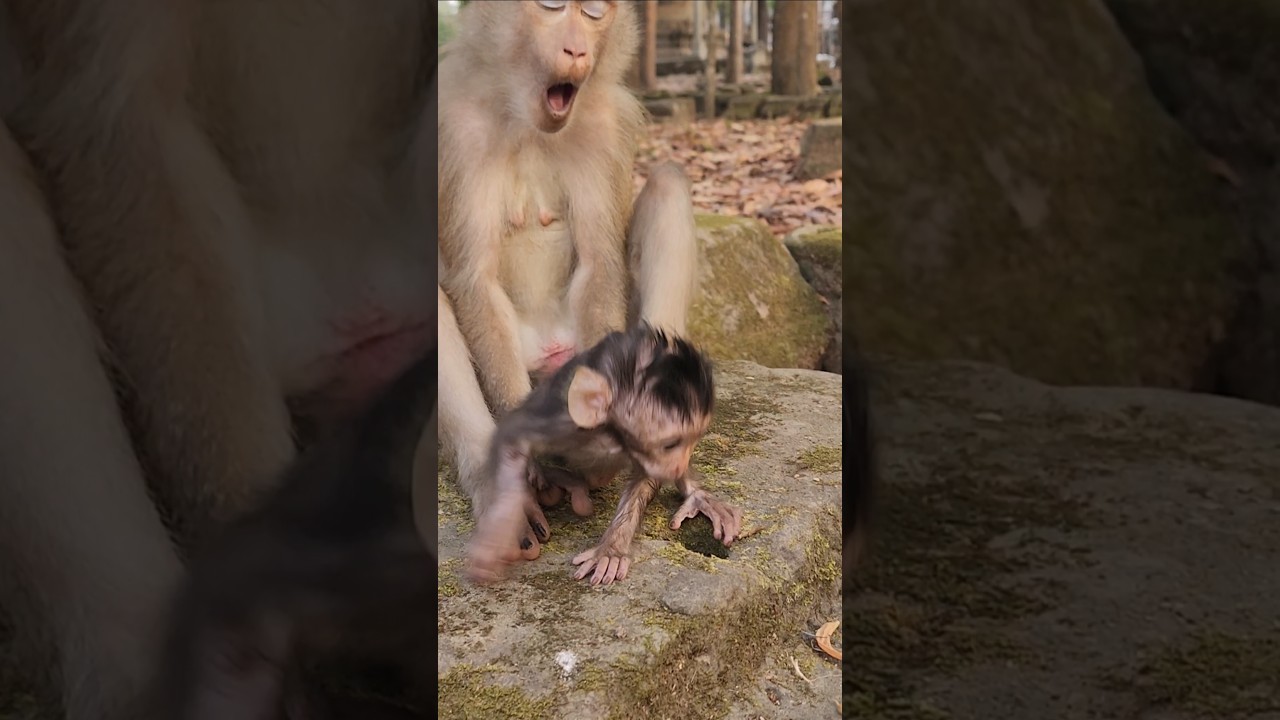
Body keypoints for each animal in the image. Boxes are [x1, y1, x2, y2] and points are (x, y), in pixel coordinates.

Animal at [438, 1, 701, 565]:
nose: (578, 50)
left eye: (595, 13)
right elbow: (475, 278)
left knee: (667, 185)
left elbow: (599, 260)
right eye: (553, 7)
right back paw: (505, 495)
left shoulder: (606, 123)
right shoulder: (453, 126)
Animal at [466, 323, 742, 587]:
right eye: (671, 445)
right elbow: (511, 439)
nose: (679, 466)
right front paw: (500, 532)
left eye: (693, 441)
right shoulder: (559, 421)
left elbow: (644, 478)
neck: (611, 436)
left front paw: (611, 550)